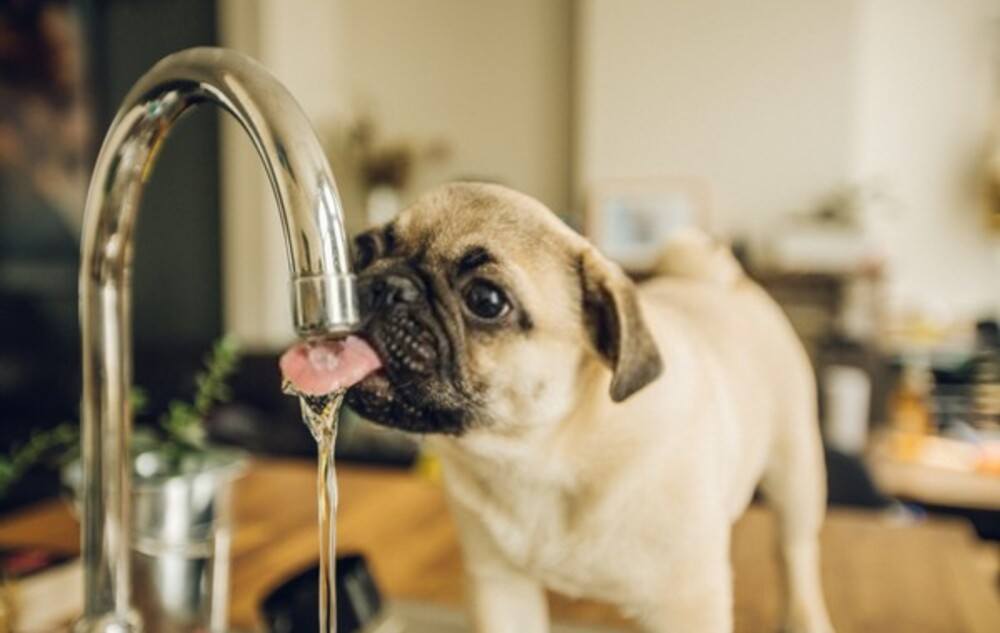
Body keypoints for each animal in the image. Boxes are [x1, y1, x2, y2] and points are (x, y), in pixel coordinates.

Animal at [344, 181, 836, 632]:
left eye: (485, 300)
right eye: (361, 252)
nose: (385, 285)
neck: (540, 454)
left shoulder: (686, 602)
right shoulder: (500, 585)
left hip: (795, 475)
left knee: (795, 556)